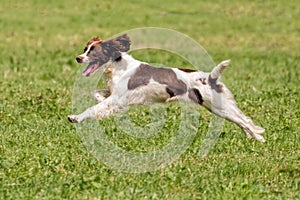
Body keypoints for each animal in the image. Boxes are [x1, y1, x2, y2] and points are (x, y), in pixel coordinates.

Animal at [68, 34, 264, 142]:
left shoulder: (118, 98)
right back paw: (253, 137)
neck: (117, 67)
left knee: (244, 121)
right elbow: (97, 95)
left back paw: (259, 137)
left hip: (219, 106)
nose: (78, 58)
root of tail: (210, 77)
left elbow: (93, 109)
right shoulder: (115, 95)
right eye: (85, 49)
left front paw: (75, 117)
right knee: (242, 120)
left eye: (93, 52)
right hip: (218, 107)